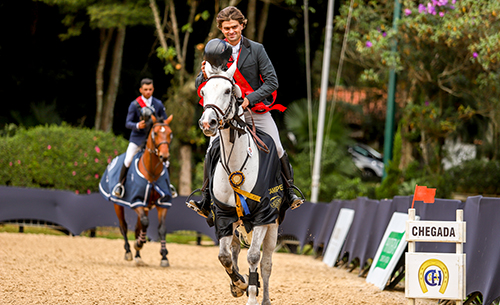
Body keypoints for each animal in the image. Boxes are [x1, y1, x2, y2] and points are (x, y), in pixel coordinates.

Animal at [112, 114, 175, 266]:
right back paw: (129, 251)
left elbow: (161, 228)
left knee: (137, 228)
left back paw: (138, 256)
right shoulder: (137, 201)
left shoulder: (162, 203)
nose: (164, 156)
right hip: (118, 204)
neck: (152, 172)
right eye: (155, 133)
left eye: (170, 133)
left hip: (145, 207)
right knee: (123, 226)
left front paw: (164, 256)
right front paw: (139, 244)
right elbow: (145, 223)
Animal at [197, 57, 280, 304]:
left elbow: (254, 257)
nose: (208, 123)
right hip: (236, 224)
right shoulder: (224, 216)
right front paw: (239, 283)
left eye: (228, 90)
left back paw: (263, 297)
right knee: (234, 250)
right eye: (203, 91)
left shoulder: (264, 216)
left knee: (266, 262)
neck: (236, 164)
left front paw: (251, 294)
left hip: (273, 226)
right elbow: (224, 256)